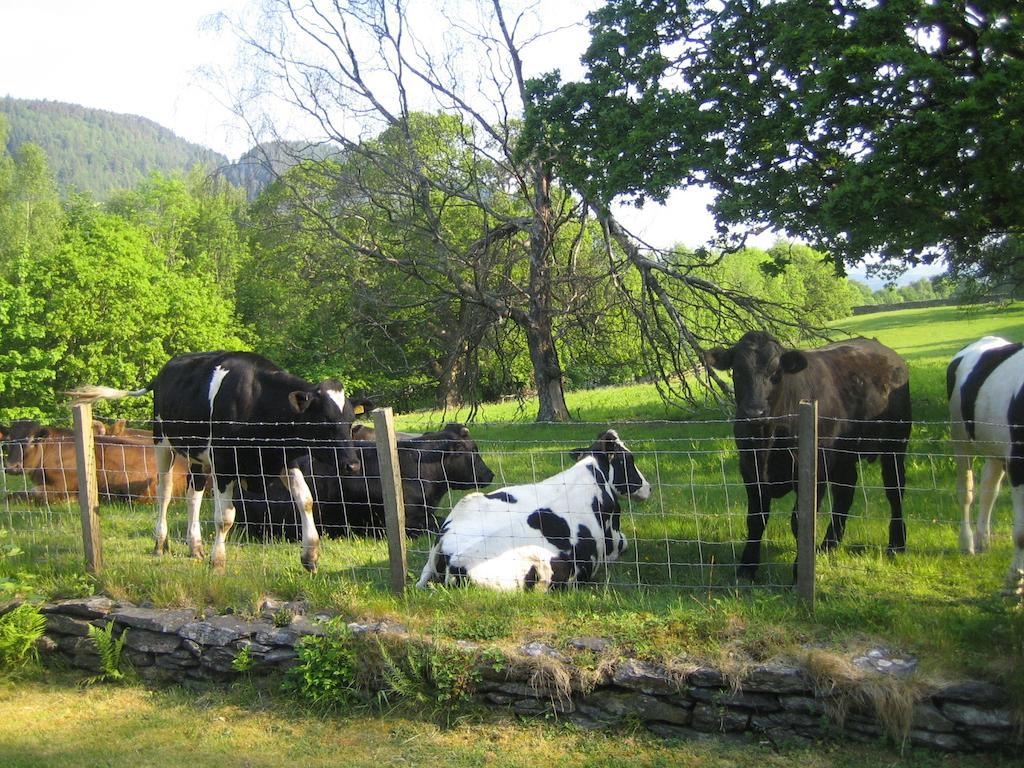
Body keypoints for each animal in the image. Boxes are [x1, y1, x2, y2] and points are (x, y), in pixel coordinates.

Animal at [69, 352, 364, 573]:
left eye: (351, 421)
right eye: (324, 421)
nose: (352, 465)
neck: (258, 403)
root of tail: (163, 372)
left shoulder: (280, 459)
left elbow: (306, 500)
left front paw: (310, 556)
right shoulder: (224, 462)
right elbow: (225, 517)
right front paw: (218, 561)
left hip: (198, 456)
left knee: (193, 494)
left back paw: (195, 547)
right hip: (162, 441)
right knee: (165, 493)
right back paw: (160, 543)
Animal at [413, 430, 647, 593]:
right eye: (630, 459)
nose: (648, 487)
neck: (594, 472)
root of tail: (452, 555)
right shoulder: (613, 542)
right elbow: (625, 542)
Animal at [704, 333, 913, 581]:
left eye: (776, 374)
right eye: (737, 372)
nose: (754, 412)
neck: (767, 440)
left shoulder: (816, 468)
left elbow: (800, 520)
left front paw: (798, 571)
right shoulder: (749, 468)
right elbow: (755, 519)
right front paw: (747, 567)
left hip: (895, 445)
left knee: (895, 491)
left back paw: (897, 545)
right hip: (844, 456)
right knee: (845, 491)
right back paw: (828, 545)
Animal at [946, 335, 1024, 581]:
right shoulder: (1017, 462)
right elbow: (1022, 532)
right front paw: (1016, 576)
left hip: (995, 448)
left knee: (989, 487)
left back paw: (983, 539)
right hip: (960, 437)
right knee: (966, 491)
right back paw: (967, 543)